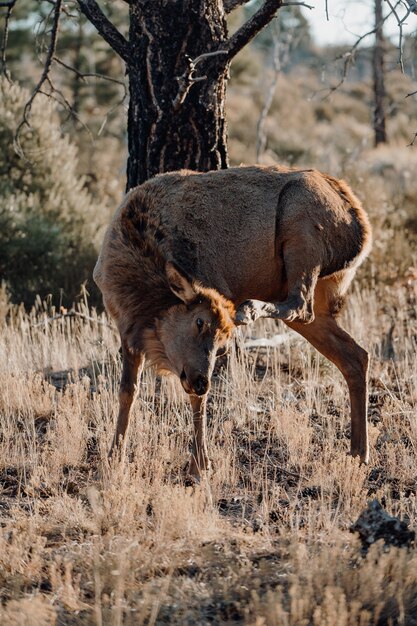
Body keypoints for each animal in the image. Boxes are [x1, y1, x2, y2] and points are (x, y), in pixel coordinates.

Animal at [93, 165, 370, 478]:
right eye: (199, 322)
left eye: (223, 345)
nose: (201, 381)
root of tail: (362, 229)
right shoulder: (127, 329)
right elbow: (127, 391)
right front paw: (114, 456)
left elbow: (197, 402)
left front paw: (200, 465)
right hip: (314, 300)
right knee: (355, 355)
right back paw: (358, 453)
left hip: (301, 230)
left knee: (300, 305)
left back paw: (249, 309)